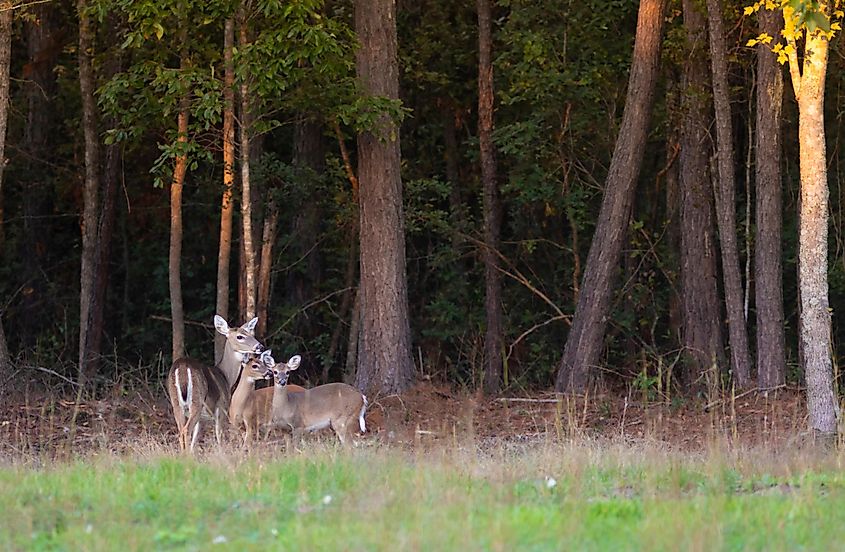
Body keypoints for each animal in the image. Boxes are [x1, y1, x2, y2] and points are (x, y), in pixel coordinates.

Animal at [168, 314, 264, 452]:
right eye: (240, 336)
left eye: (251, 333)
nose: (260, 347)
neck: (226, 376)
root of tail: (181, 368)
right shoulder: (222, 408)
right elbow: (220, 436)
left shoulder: (202, 418)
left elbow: (195, 440)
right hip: (196, 401)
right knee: (186, 430)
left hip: (176, 402)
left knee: (181, 430)